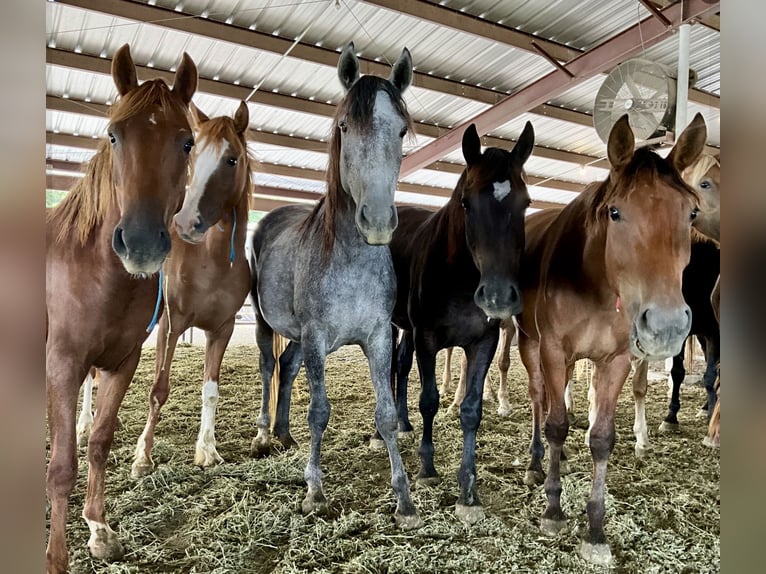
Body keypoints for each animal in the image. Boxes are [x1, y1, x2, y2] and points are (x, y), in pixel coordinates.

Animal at [45, 46, 198, 574]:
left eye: (187, 142)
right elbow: (62, 466)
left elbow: (99, 443)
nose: (141, 243)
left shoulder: (122, 362)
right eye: (114, 135)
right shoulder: (63, 365)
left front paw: (98, 530)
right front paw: (56, 558)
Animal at [129, 102, 254, 476]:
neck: (210, 261)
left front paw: (208, 451)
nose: (186, 223)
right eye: (193, 154)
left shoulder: (222, 329)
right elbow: (159, 389)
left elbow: (210, 390)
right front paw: (142, 457)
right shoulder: (172, 325)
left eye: (231, 159)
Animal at [249, 42, 424, 532]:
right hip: (264, 320)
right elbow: (320, 412)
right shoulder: (317, 337)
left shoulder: (379, 336)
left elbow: (386, 413)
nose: (378, 221)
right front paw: (314, 491)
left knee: (286, 368)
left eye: (401, 129)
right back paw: (263, 435)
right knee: (269, 366)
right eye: (345, 126)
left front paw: (404, 499)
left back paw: (283, 433)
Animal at [390, 121, 536, 528]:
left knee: (400, 365)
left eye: (526, 203)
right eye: (467, 203)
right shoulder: (426, 338)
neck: (457, 275)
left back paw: (403, 424)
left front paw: (468, 492)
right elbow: (429, 400)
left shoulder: (483, 342)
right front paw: (427, 469)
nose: (498, 296)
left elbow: (471, 410)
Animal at [516, 113, 708, 568]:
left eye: (691, 213)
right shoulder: (553, 349)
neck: (596, 282)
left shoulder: (617, 359)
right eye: (615, 212)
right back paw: (537, 462)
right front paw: (553, 510)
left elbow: (601, 438)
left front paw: (596, 531)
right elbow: (555, 423)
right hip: (530, 344)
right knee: (538, 401)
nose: (667, 325)